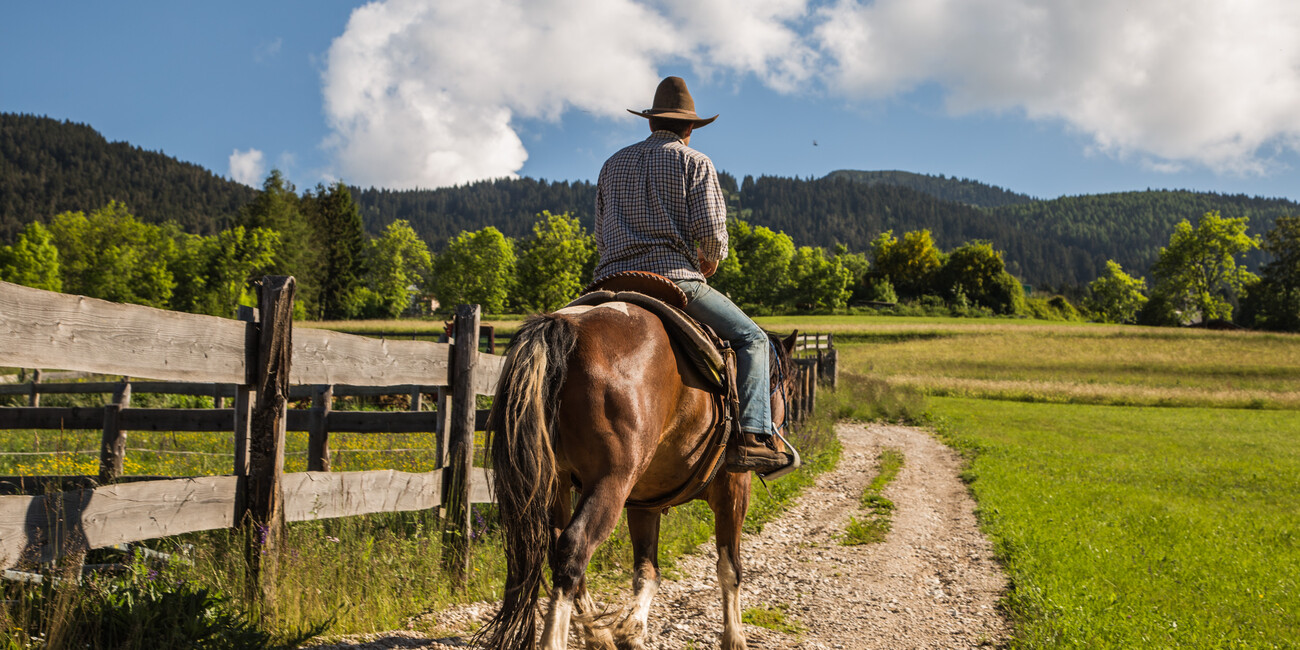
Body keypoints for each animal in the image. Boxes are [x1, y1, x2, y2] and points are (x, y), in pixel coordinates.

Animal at [473, 301, 785, 647]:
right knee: (574, 549)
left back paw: (598, 635)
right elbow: (730, 568)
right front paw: (735, 638)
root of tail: (567, 327)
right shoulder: (734, 488)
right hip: (610, 482)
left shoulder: (644, 503)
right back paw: (560, 639)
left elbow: (648, 572)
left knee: (559, 551)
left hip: (558, 483)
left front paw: (630, 630)